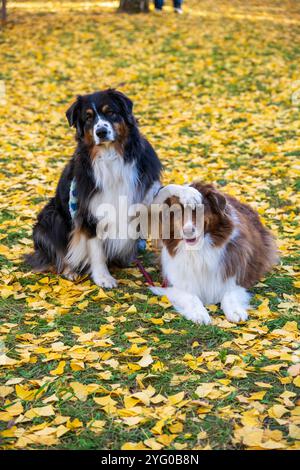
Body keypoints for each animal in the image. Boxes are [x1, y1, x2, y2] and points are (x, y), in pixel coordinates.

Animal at [25, 87, 199, 286]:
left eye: (110, 112)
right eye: (88, 118)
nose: (101, 132)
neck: (111, 154)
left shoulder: (142, 193)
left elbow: (166, 188)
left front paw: (188, 192)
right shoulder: (88, 212)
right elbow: (96, 248)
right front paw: (103, 277)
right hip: (51, 217)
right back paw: (70, 270)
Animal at [151, 183, 278, 324]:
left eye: (199, 210)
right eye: (178, 212)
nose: (188, 231)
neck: (199, 250)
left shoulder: (235, 277)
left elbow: (229, 293)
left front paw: (235, 311)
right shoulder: (177, 284)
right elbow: (191, 297)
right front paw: (199, 313)